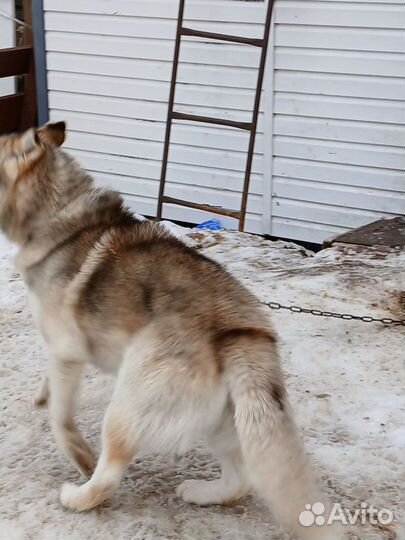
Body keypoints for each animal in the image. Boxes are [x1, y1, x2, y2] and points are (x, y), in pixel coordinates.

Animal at [0, 124, 340, 536]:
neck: (58, 216)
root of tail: (235, 333)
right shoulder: (58, 352)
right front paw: (42, 394)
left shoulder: (67, 352)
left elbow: (61, 421)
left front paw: (78, 453)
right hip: (225, 423)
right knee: (240, 480)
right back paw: (200, 492)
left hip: (127, 407)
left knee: (109, 475)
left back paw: (79, 497)